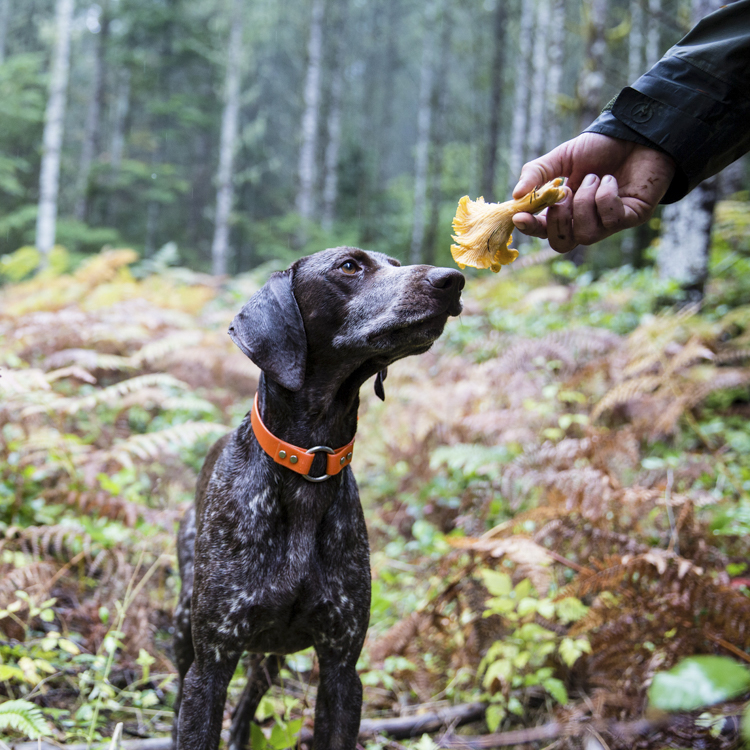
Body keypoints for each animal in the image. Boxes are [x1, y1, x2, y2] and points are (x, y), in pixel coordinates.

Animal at [173, 248, 464, 750]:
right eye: (349, 266)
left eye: (396, 263)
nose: (454, 279)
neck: (311, 463)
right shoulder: (210, 666)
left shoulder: (342, 671)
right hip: (182, 628)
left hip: (269, 657)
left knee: (248, 702)